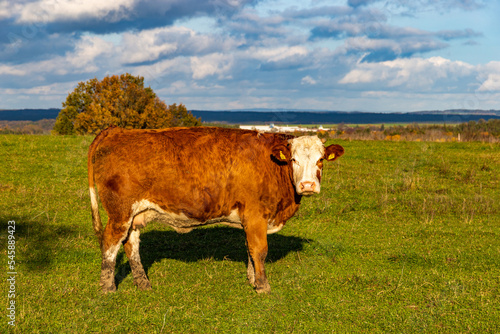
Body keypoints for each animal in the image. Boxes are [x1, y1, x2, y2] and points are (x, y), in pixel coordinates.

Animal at [88, 126, 342, 294]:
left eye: (320, 160)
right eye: (293, 160)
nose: (307, 185)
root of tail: (118, 130)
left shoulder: (250, 220)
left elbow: (250, 251)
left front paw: (252, 280)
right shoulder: (255, 215)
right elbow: (259, 250)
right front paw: (263, 286)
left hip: (134, 215)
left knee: (131, 244)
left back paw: (143, 283)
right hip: (120, 213)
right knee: (110, 243)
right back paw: (107, 288)